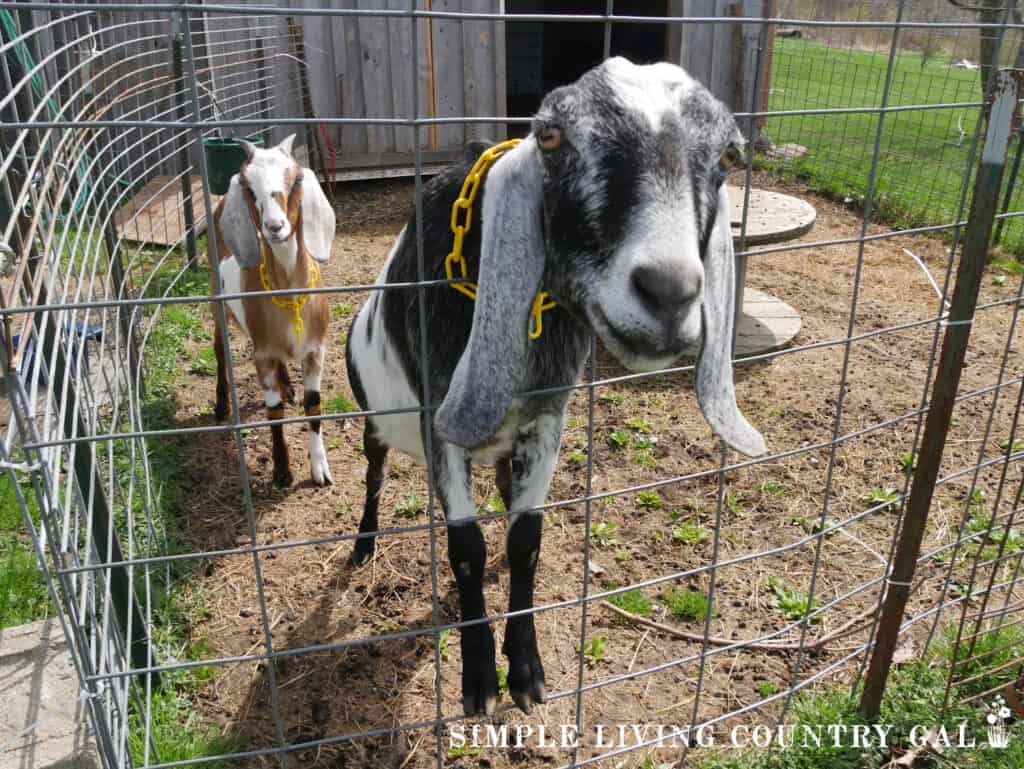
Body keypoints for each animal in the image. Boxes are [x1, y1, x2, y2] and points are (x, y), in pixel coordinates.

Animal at [207, 134, 335, 483]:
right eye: (249, 186)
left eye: (297, 178)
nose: (274, 226)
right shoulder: (261, 356)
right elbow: (274, 413)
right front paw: (281, 471)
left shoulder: (315, 350)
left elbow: (314, 404)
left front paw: (320, 468)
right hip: (215, 299)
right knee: (219, 350)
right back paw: (221, 405)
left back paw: (287, 384)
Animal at [348, 58, 765, 716]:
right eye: (550, 136)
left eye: (727, 155)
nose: (670, 292)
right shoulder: (440, 418)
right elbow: (465, 549)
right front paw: (478, 680)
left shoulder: (546, 415)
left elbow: (525, 538)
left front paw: (524, 669)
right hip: (374, 419)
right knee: (373, 472)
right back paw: (364, 542)